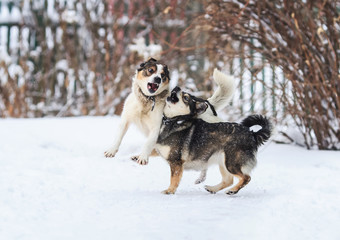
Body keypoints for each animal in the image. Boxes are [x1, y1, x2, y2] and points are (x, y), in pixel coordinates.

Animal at [105, 57, 235, 174]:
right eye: (151, 70)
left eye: (163, 75)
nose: (157, 78)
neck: (147, 101)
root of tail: (208, 104)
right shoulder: (126, 119)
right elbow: (118, 137)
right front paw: (111, 151)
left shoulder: (155, 128)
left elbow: (148, 144)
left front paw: (143, 158)